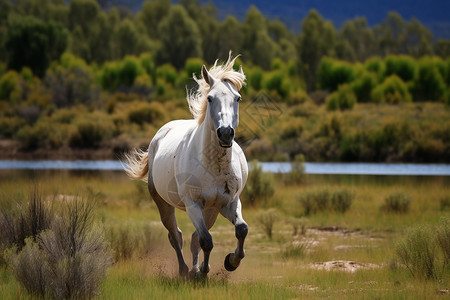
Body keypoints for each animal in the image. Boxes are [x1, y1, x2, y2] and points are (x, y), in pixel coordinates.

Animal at [123, 54, 248, 278]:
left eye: (238, 98)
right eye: (210, 98)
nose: (225, 133)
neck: (213, 166)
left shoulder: (230, 202)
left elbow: (240, 230)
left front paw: (230, 262)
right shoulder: (192, 205)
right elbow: (206, 240)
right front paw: (203, 272)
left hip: (211, 210)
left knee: (193, 238)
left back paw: (194, 269)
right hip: (164, 203)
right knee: (176, 236)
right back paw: (184, 271)